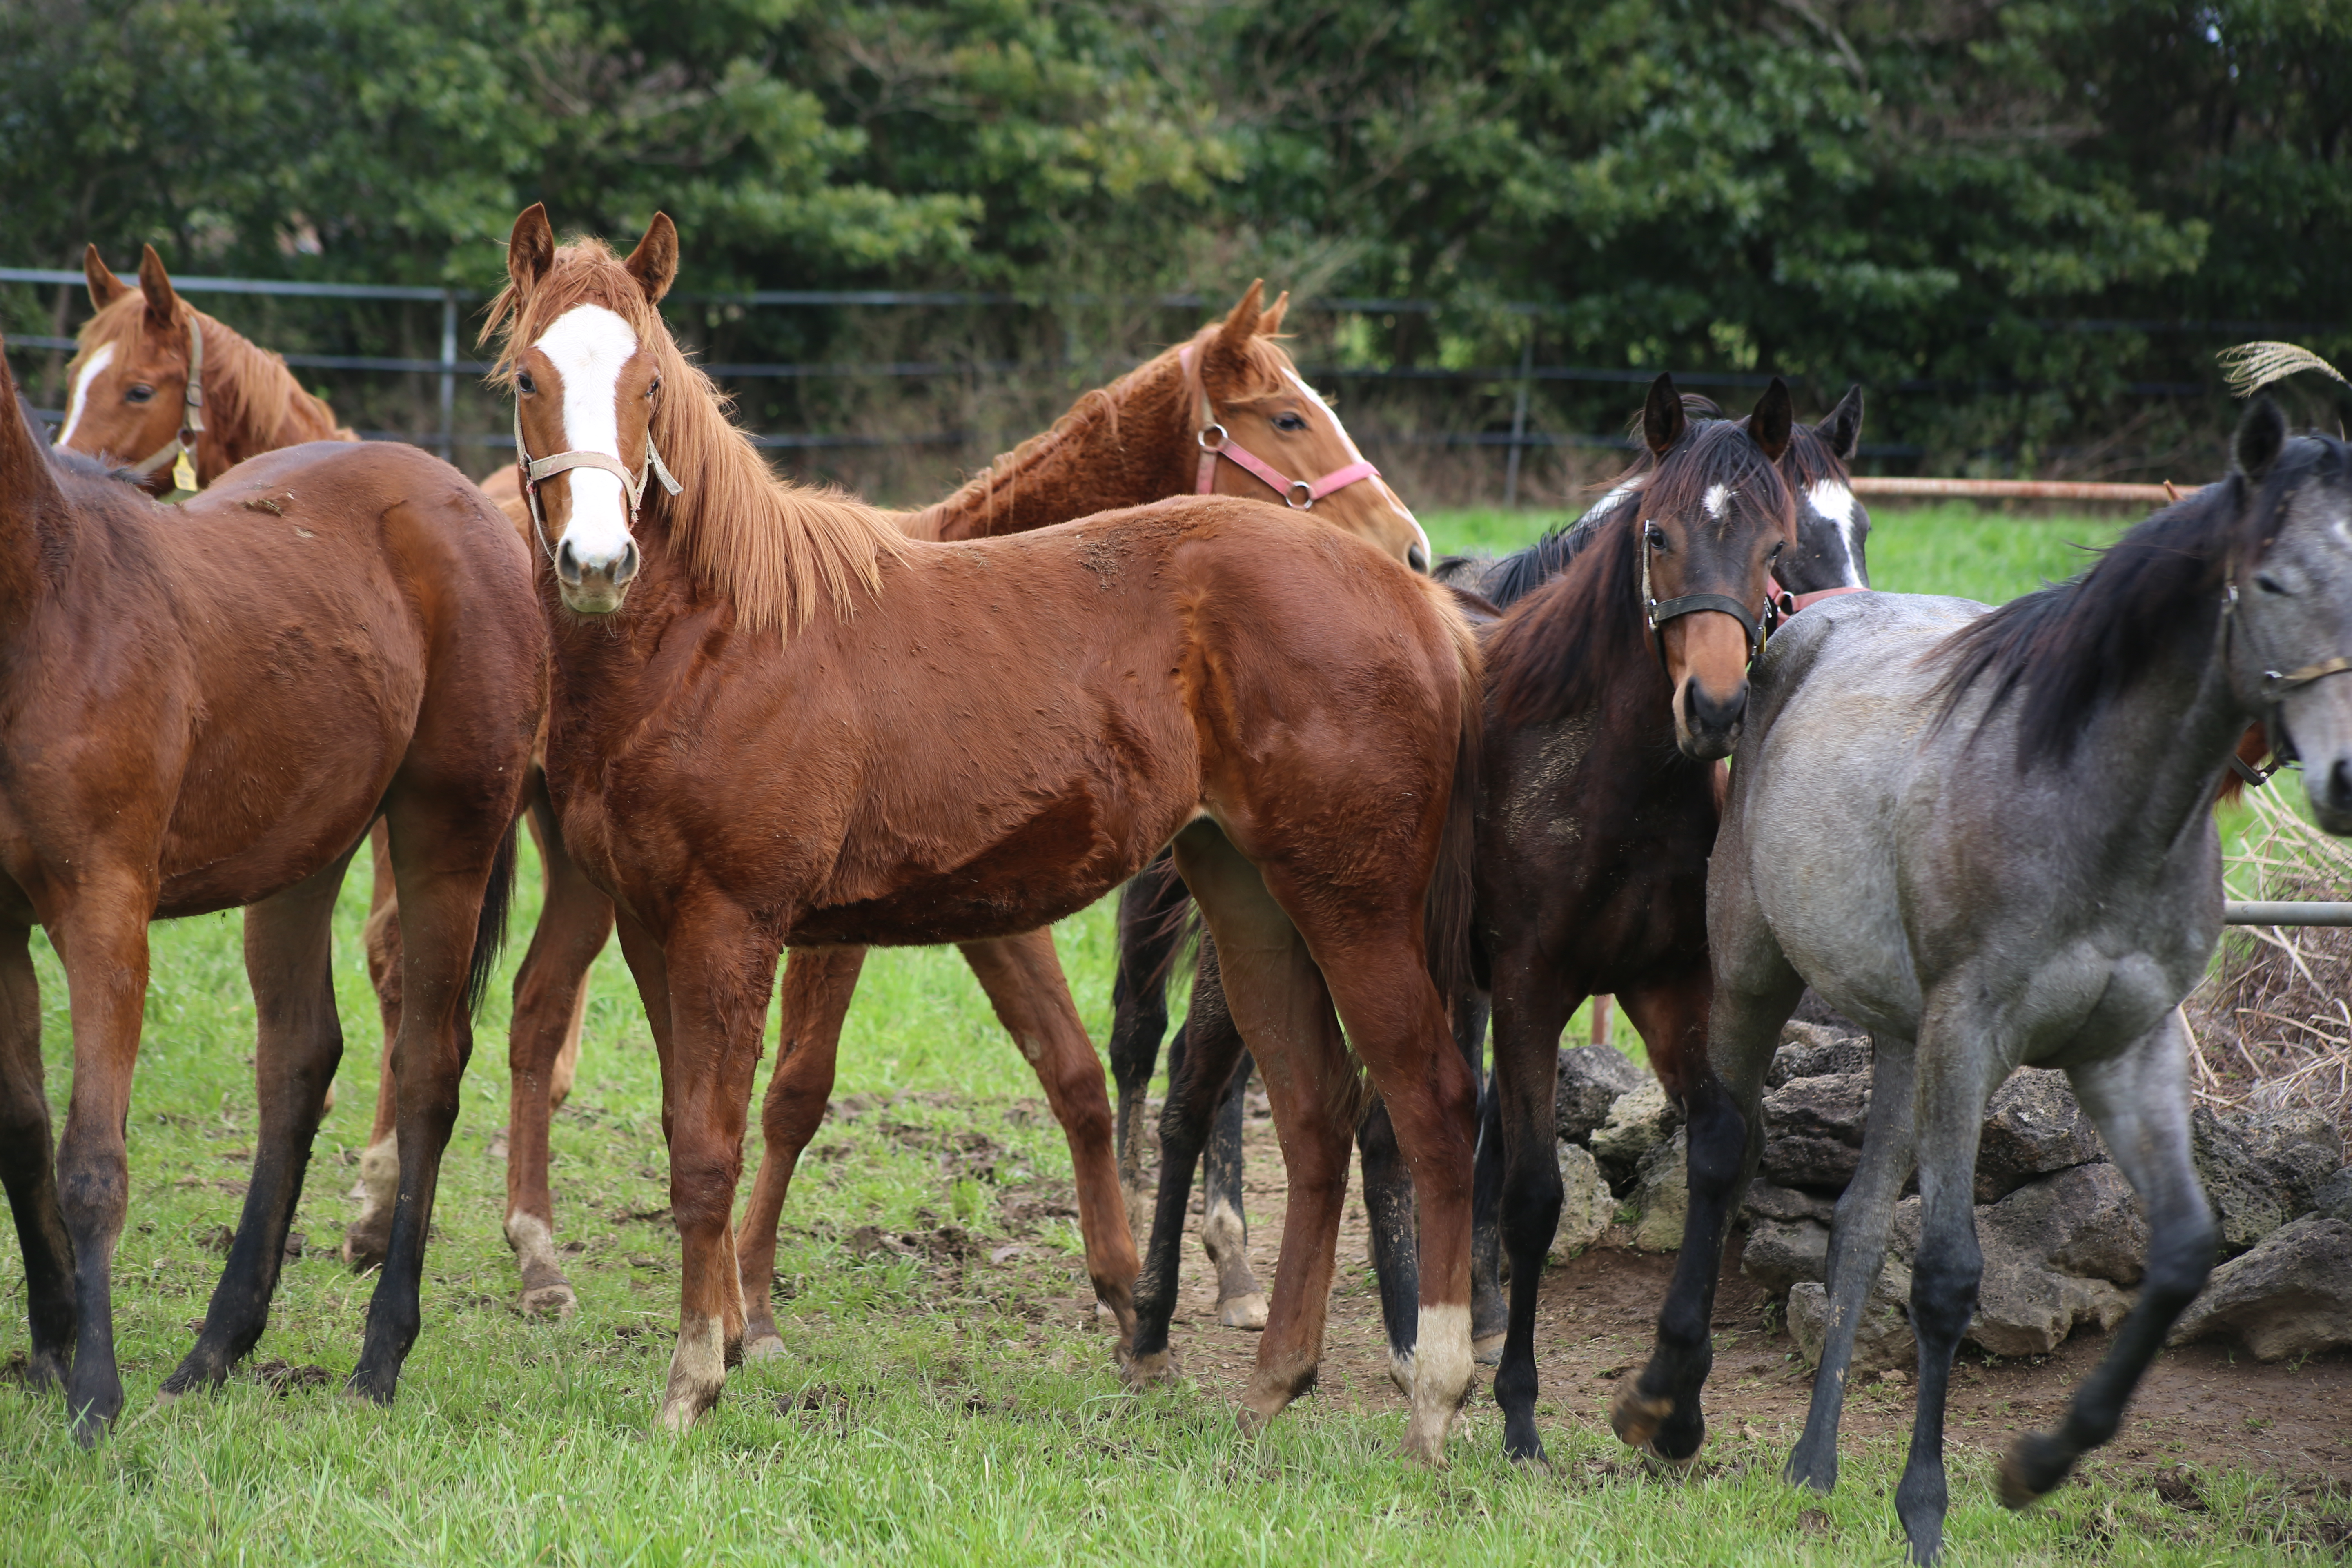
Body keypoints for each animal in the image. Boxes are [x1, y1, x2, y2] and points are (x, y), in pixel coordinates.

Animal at [0, 339, 541, 1439]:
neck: (44, 596)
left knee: (426, 1065)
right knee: (297, 1061)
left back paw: (378, 1356)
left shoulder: (103, 912)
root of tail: (473, 505)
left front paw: (95, 1396)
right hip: (301, 860)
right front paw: (52, 1347)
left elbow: (92, 1161)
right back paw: (216, 1346)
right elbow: (23, 1134)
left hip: (445, 838)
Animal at [489, 208, 1477, 1457]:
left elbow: (725, 1141)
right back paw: (1271, 1384)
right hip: (1249, 894)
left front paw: (696, 1377)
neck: (720, 634)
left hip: (1351, 903)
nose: (597, 563)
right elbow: (691, 1134)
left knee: (1427, 1099)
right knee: (1315, 1111)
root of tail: (1426, 614)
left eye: (651, 383)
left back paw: (1435, 1393)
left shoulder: (740, 924)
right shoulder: (655, 926)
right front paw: (724, 1337)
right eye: (528, 378)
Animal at [1608, 399, 2352, 1561]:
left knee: (1859, 1220)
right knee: (1719, 1160)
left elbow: (2183, 1254)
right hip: (1756, 980)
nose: (2344, 775)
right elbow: (1950, 1276)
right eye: (2271, 582)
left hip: (1899, 1034)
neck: (2090, 797)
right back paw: (1667, 1409)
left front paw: (2039, 1462)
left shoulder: (2126, 1048)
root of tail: (1797, 635)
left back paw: (1813, 1463)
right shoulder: (1972, 1035)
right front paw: (1925, 1506)